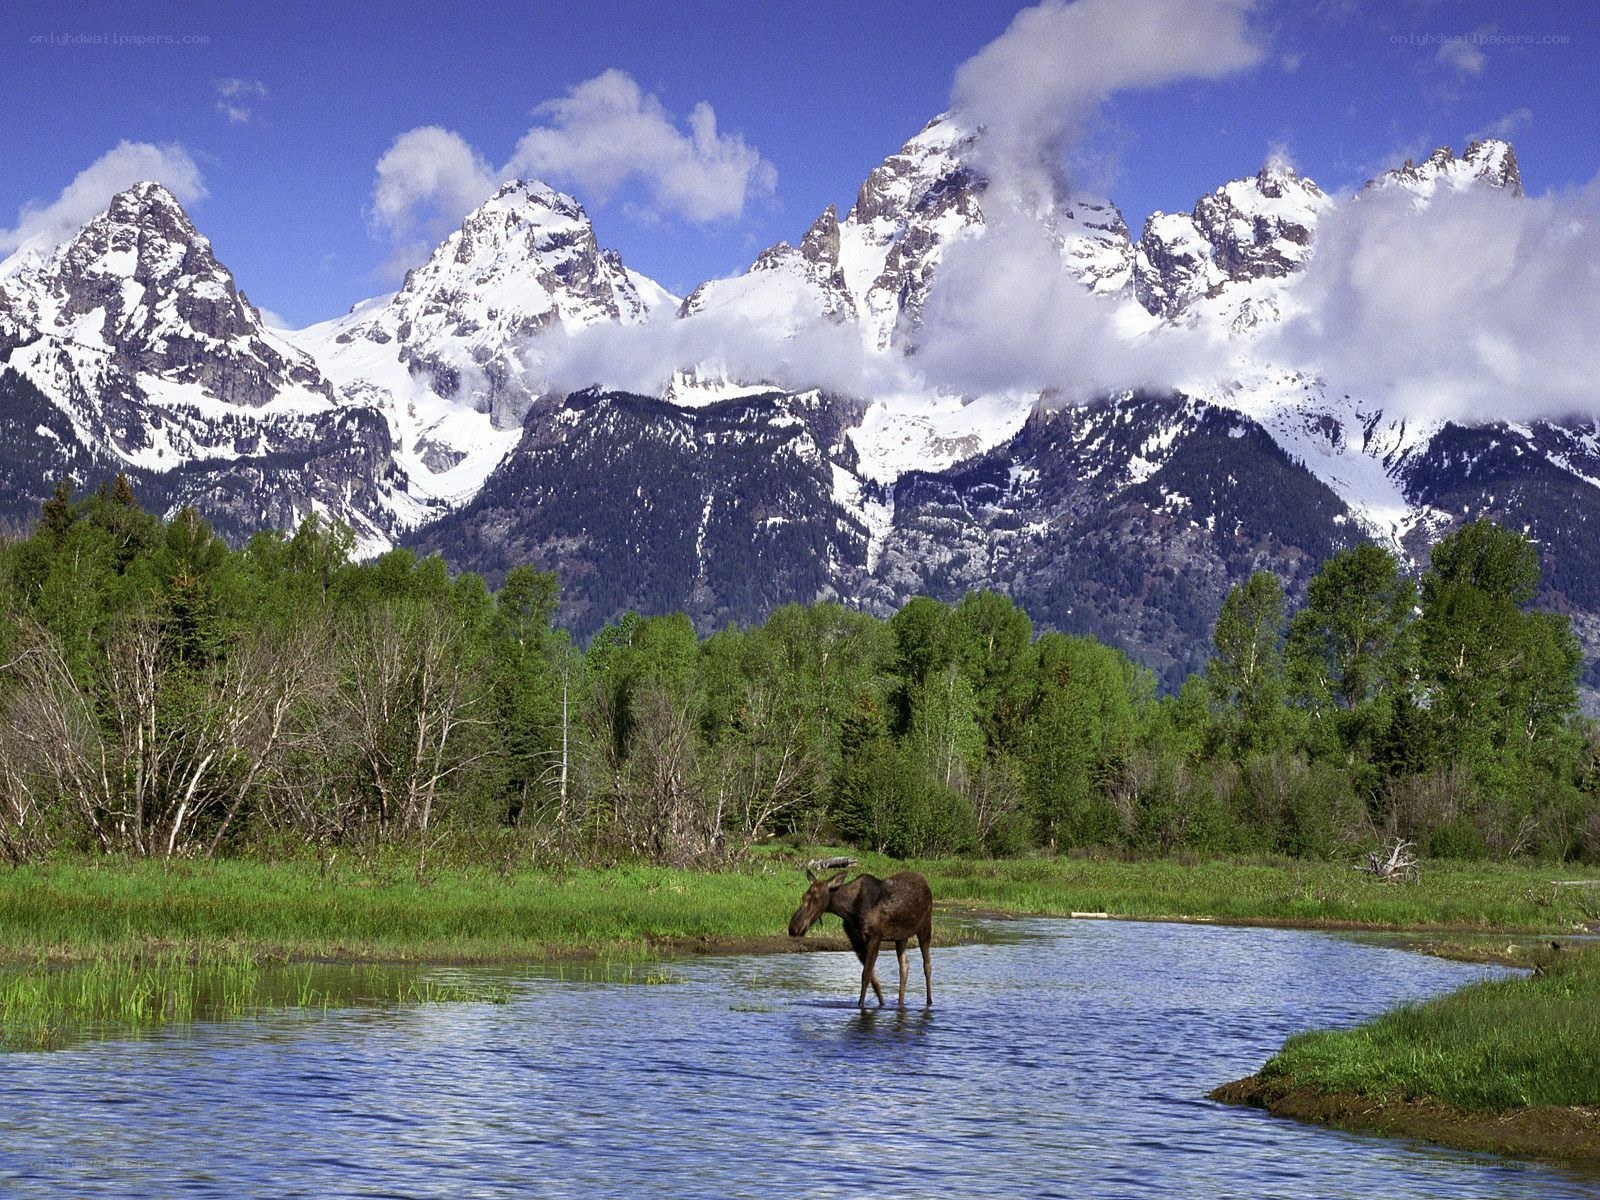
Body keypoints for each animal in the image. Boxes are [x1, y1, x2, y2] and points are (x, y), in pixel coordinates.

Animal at [788, 859, 933, 1009]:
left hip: (925, 925)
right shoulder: (856, 941)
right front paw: (882, 1004)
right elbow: (873, 979)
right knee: (904, 966)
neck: (849, 910)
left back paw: (929, 1002)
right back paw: (900, 1003)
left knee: (927, 965)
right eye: (803, 897)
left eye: (816, 898)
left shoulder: (875, 937)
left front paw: (861, 1005)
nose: (794, 927)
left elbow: (866, 975)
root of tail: (926, 883)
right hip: (901, 936)